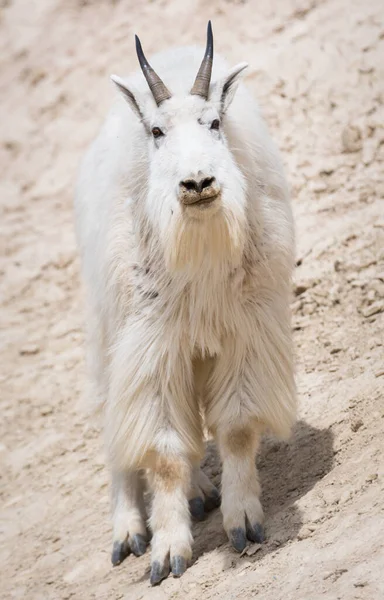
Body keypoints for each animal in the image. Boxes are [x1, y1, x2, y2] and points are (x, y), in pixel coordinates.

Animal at [75, 22, 296, 584]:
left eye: (214, 122)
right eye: (157, 132)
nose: (197, 183)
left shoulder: (244, 333)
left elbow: (236, 430)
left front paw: (243, 523)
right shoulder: (150, 345)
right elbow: (164, 452)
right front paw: (168, 552)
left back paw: (201, 493)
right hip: (108, 334)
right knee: (116, 436)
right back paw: (129, 529)